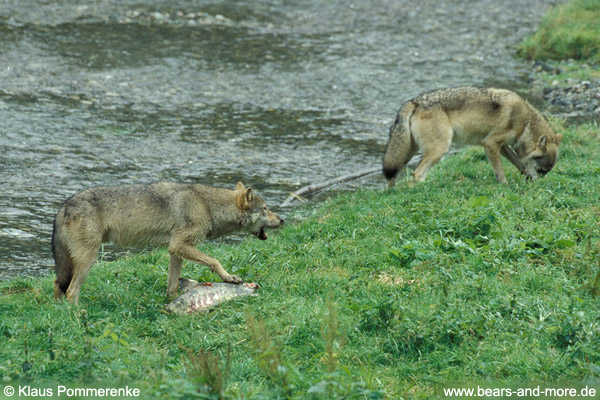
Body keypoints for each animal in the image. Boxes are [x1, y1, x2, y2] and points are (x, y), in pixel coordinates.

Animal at [52, 182, 284, 304]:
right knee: (71, 291)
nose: (283, 220)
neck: (208, 206)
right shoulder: (181, 245)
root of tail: (63, 207)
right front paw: (230, 278)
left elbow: (172, 284)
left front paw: (174, 301)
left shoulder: (175, 250)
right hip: (89, 259)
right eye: (265, 209)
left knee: (57, 284)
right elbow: (214, 261)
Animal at [384, 86, 564, 186]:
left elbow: (519, 163)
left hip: (406, 154)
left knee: (393, 175)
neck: (525, 122)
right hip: (440, 149)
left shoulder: (502, 146)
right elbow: (500, 171)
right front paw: (505, 185)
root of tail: (414, 101)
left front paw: (524, 175)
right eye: (541, 171)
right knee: (417, 174)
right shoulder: (490, 143)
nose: (536, 185)